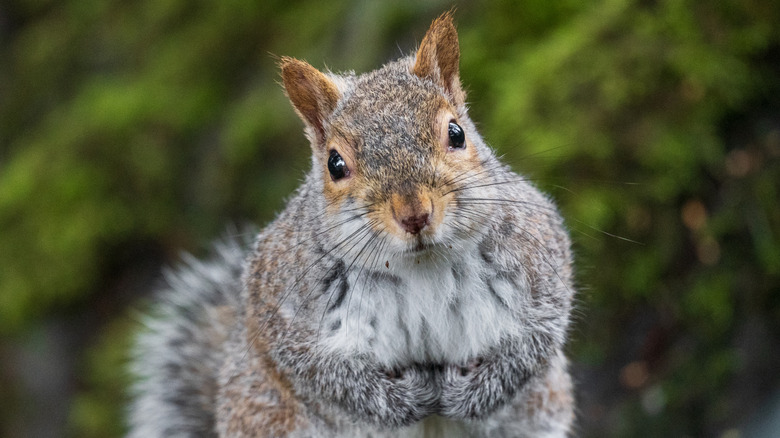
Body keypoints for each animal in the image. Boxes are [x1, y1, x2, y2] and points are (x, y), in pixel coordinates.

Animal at [128, 12, 576, 438]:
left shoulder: (538, 253)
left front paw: (475, 393)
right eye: (335, 163)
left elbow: (535, 340)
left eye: (456, 133)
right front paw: (401, 400)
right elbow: (324, 374)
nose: (414, 214)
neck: (421, 265)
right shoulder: (282, 305)